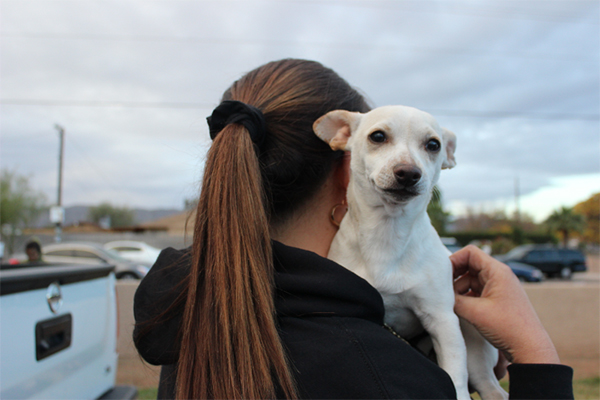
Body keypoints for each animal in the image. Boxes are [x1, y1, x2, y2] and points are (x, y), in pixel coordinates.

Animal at [314, 105, 506, 400]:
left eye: (433, 145)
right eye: (377, 136)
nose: (408, 172)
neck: (388, 233)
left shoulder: (442, 320)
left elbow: (455, 376)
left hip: (476, 358)